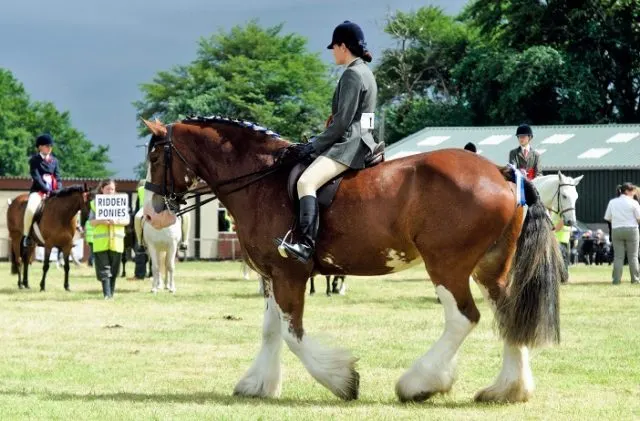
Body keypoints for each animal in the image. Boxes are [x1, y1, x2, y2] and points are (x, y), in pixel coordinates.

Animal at [141, 117, 564, 404]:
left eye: (155, 155)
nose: (153, 212)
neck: (262, 182)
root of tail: (501, 171)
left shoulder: (290, 273)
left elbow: (293, 335)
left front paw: (341, 379)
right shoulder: (273, 275)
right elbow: (270, 330)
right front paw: (257, 384)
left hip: (448, 265)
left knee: (463, 318)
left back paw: (419, 383)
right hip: (490, 267)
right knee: (508, 313)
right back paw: (507, 390)